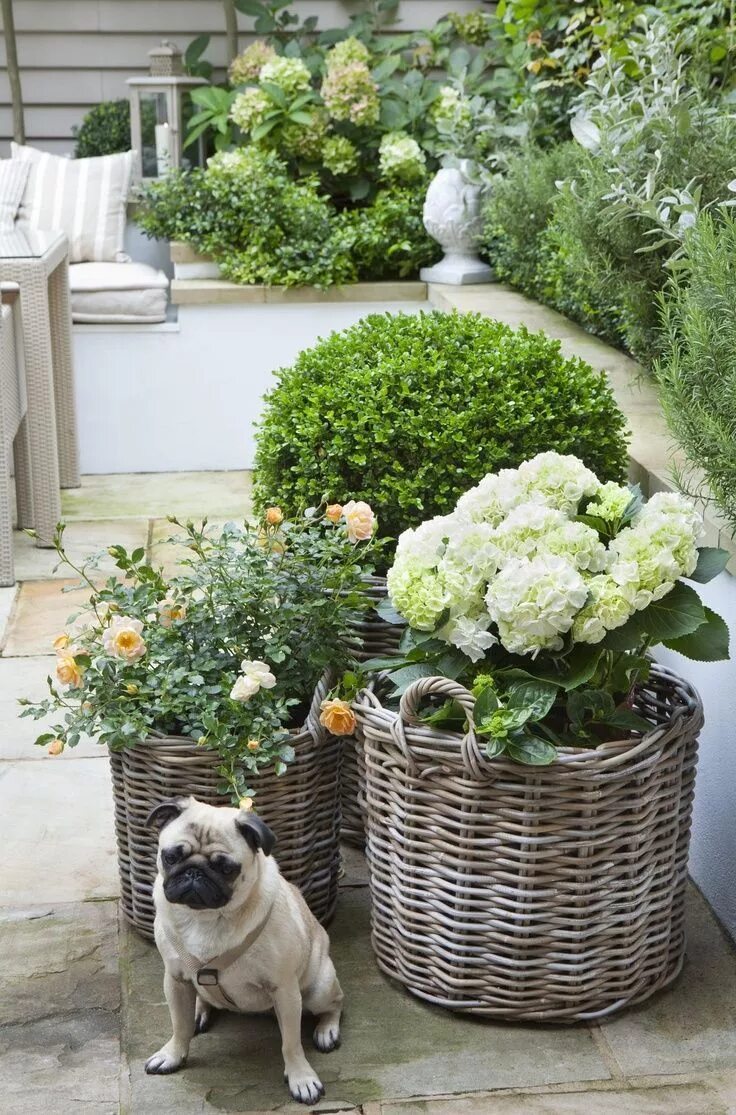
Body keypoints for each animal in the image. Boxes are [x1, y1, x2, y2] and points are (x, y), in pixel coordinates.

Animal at [143, 798, 345, 1101]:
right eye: (171, 857)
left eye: (226, 868)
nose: (194, 872)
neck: (206, 918)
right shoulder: (175, 980)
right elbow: (179, 1026)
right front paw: (173, 1054)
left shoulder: (284, 990)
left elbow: (290, 1043)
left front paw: (301, 1077)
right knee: (199, 1002)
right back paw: (199, 1011)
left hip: (318, 989)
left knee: (335, 1004)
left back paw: (326, 1030)